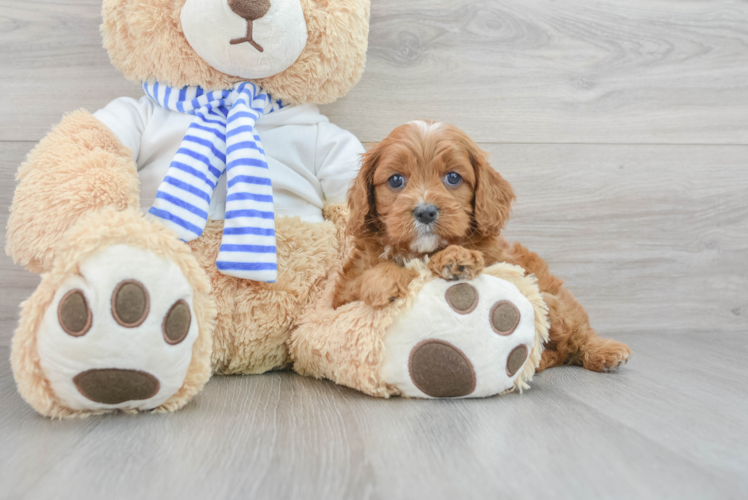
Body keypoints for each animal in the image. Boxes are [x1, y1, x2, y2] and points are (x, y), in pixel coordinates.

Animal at [336, 121, 636, 372]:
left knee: (574, 333)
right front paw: (384, 281)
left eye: (453, 178)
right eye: (396, 180)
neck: (423, 251)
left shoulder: (504, 267)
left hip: (562, 301)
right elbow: (361, 280)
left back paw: (604, 352)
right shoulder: (340, 296)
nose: (425, 211)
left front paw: (456, 258)